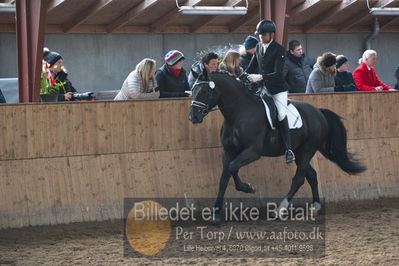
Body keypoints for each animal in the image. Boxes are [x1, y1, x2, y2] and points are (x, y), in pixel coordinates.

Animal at [189, 71, 368, 222]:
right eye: (192, 89)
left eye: (203, 91)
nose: (193, 117)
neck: (238, 114)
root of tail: (318, 111)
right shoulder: (228, 151)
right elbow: (224, 179)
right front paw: (216, 213)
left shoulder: (253, 152)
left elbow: (233, 168)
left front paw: (248, 188)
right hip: (299, 152)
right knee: (311, 175)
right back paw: (315, 206)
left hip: (307, 149)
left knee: (299, 178)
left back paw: (281, 209)